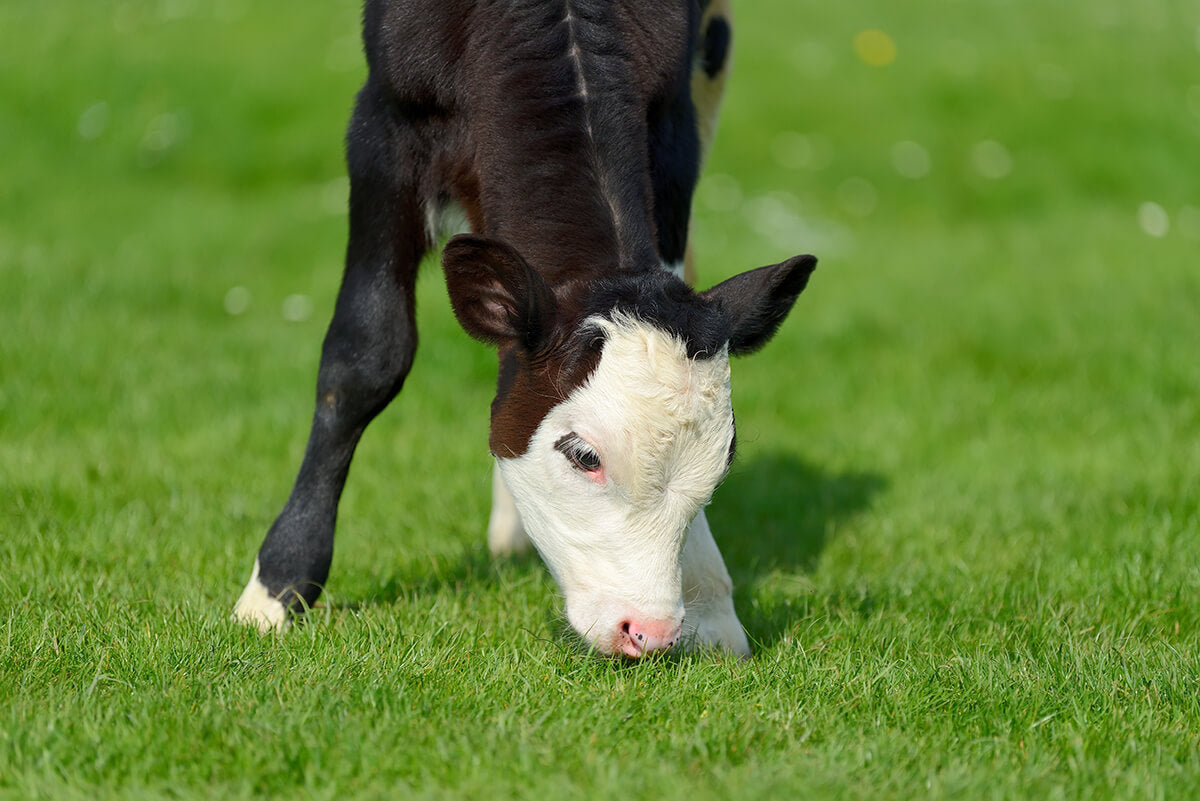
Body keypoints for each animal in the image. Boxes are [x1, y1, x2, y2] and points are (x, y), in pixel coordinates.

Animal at [234, 0, 816, 657]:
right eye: (584, 455)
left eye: (722, 463)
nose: (650, 630)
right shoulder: (387, 125)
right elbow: (366, 354)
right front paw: (277, 587)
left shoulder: (673, 129)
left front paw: (711, 606)